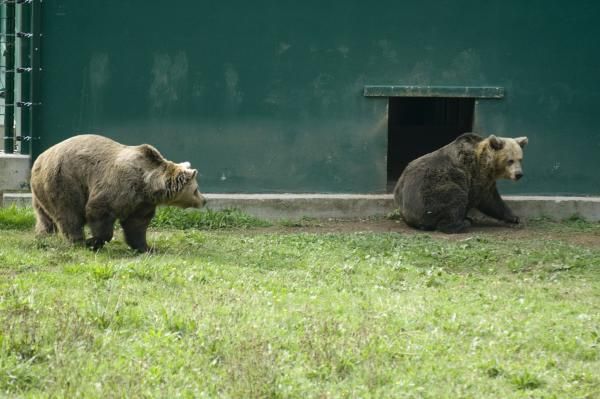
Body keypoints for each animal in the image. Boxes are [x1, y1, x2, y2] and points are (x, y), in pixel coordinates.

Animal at [394, 134, 528, 234]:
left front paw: (514, 218)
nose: (519, 174)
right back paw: (462, 224)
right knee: (455, 198)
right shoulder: (476, 175)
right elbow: (486, 200)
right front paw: (466, 217)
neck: (489, 165)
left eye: (520, 159)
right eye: (510, 160)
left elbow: (493, 199)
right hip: (433, 191)